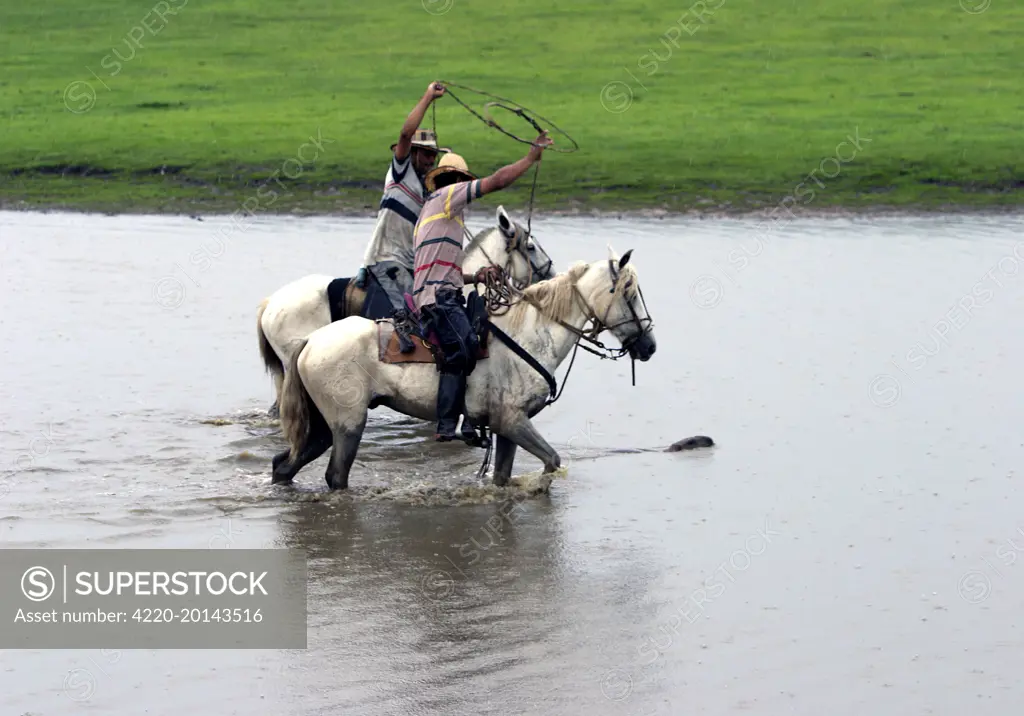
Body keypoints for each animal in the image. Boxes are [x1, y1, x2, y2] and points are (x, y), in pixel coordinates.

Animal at [272, 248, 655, 489]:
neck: (530, 336)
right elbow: (552, 461)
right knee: (335, 476)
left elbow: (504, 476)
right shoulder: (512, 421)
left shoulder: (506, 428)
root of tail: (311, 341)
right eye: (628, 292)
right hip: (348, 425)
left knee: (284, 465)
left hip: (324, 425)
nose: (649, 346)